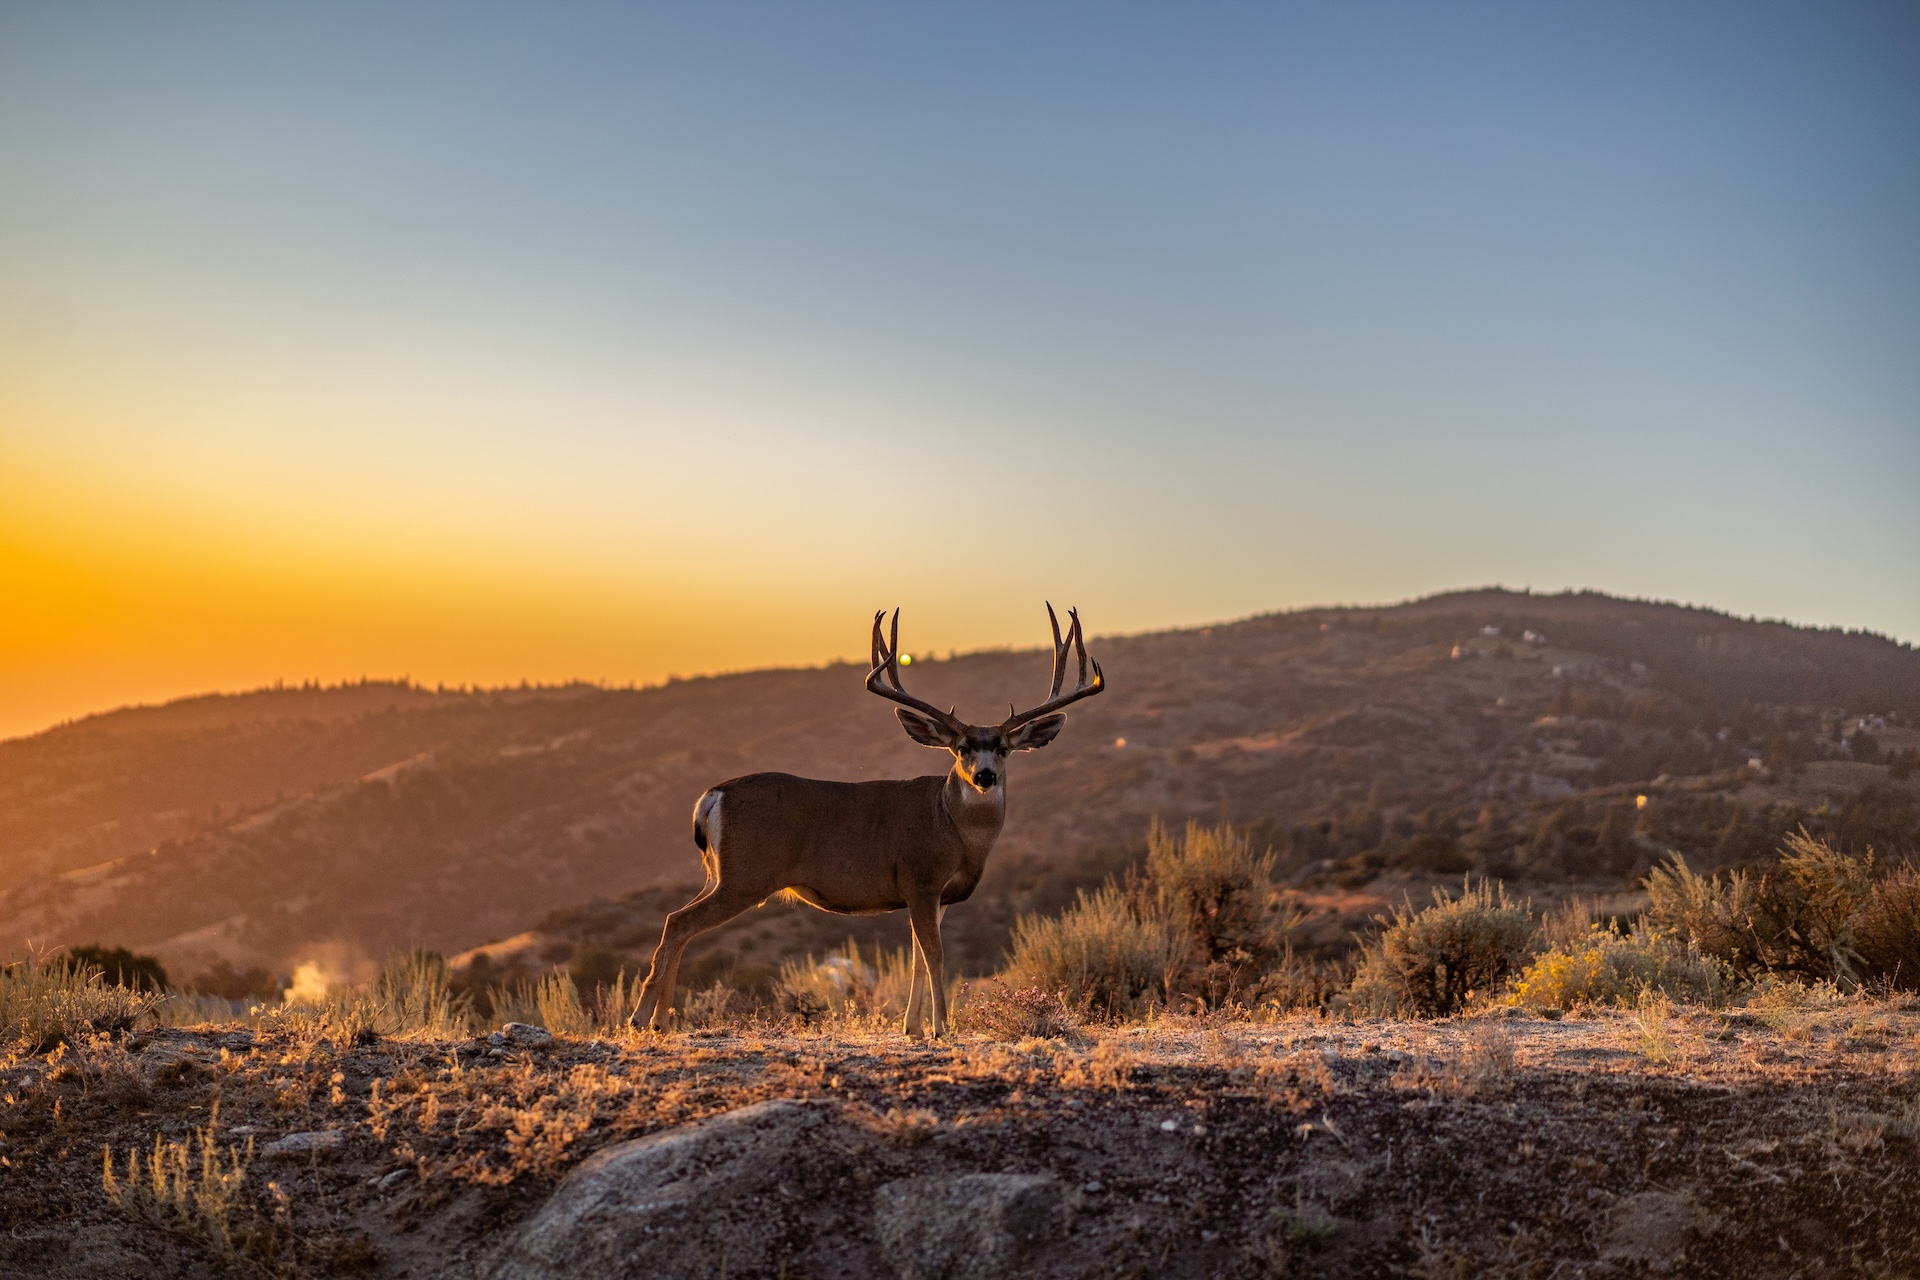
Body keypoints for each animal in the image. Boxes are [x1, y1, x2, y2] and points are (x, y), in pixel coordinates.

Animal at [631, 604, 1106, 1039]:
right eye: (961, 748)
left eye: (1004, 749)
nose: (985, 776)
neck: (953, 829)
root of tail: (713, 796)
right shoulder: (920, 879)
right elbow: (934, 956)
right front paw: (941, 1028)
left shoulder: (937, 896)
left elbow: (916, 960)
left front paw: (912, 1028)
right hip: (746, 875)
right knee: (679, 922)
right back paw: (642, 1019)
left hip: (718, 873)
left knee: (678, 922)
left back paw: (659, 1022)